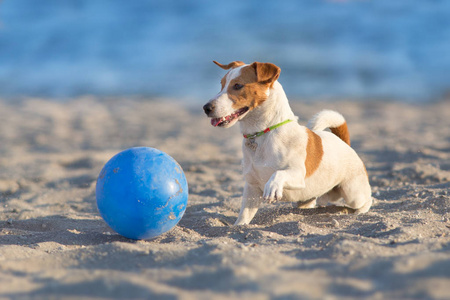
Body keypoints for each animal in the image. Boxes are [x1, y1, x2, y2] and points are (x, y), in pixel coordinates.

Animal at [202, 61, 370, 225]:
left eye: (238, 85)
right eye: (221, 84)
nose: (206, 108)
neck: (263, 134)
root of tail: (344, 143)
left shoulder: (298, 175)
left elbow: (278, 174)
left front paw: (273, 186)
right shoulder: (252, 188)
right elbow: (243, 217)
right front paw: (238, 227)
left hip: (352, 193)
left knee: (366, 200)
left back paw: (358, 211)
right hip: (306, 199)